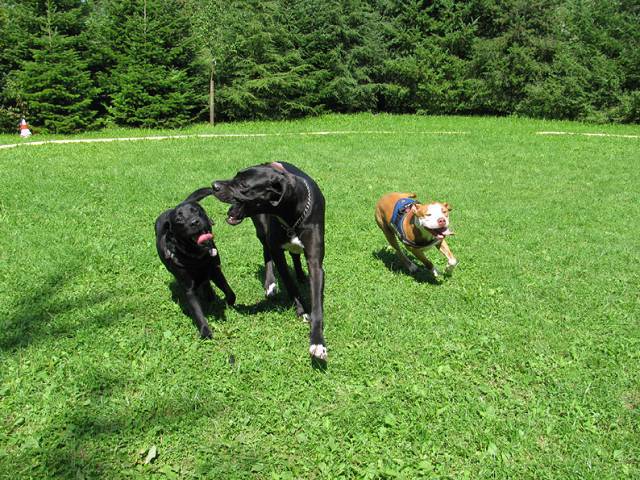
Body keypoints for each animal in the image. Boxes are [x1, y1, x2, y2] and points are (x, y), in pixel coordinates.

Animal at [155, 187, 236, 339]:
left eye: (196, 211)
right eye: (179, 219)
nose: (194, 222)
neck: (198, 258)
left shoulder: (216, 271)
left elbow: (230, 292)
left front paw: (228, 303)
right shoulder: (189, 289)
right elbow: (197, 312)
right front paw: (205, 331)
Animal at [212, 162, 327, 361]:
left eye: (243, 184)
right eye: (235, 177)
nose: (214, 186)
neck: (292, 215)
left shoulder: (315, 262)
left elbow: (317, 303)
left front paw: (317, 342)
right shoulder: (277, 250)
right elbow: (290, 283)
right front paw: (302, 310)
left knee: (295, 255)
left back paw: (300, 275)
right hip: (262, 228)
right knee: (267, 252)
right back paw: (270, 284)